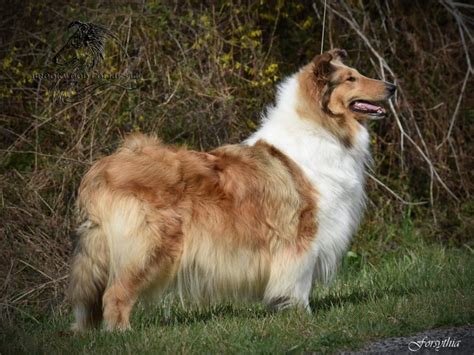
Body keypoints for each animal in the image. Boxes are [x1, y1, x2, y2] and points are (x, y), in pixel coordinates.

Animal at [69, 48, 396, 332]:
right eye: (351, 78)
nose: (392, 86)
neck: (323, 129)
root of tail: (99, 170)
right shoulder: (302, 235)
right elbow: (299, 282)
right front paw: (303, 317)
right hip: (147, 247)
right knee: (115, 295)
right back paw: (121, 334)